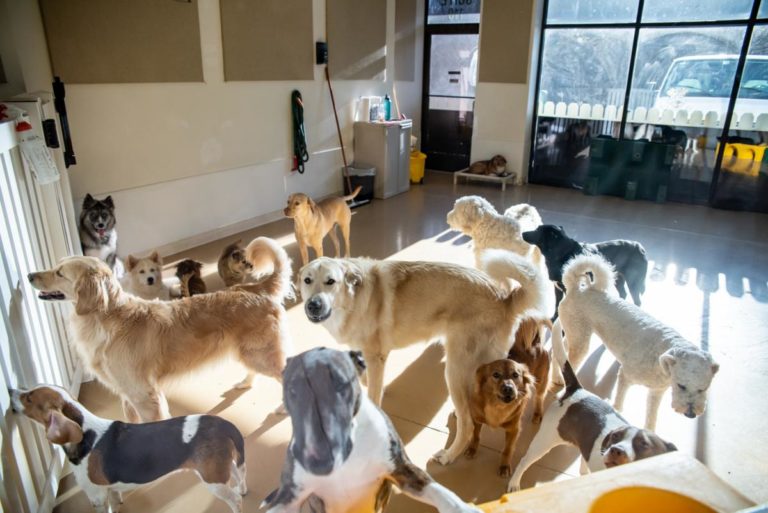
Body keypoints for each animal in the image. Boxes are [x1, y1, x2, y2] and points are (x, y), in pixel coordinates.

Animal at [28, 238, 292, 422]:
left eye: (60, 273)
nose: (29, 275)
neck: (107, 318)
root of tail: (256, 288)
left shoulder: (143, 394)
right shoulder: (127, 393)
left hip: (261, 354)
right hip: (246, 351)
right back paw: (245, 383)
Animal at [520, 225, 648, 308]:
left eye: (537, 230)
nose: (522, 233)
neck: (562, 253)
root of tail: (640, 248)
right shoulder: (558, 288)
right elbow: (557, 307)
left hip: (633, 281)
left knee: (637, 301)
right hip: (618, 278)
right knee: (623, 293)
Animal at [552, 254, 720, 430]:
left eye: (703, 389)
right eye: (681, 386)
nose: (691, 414)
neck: (660, 357)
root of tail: (576, 287)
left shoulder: (656, 392)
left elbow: (651, 417)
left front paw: (649, 431)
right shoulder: (625, 377)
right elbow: (618, 404)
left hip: (574, 333)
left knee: (557, 351)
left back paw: (557, 377)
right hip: (580, 340)